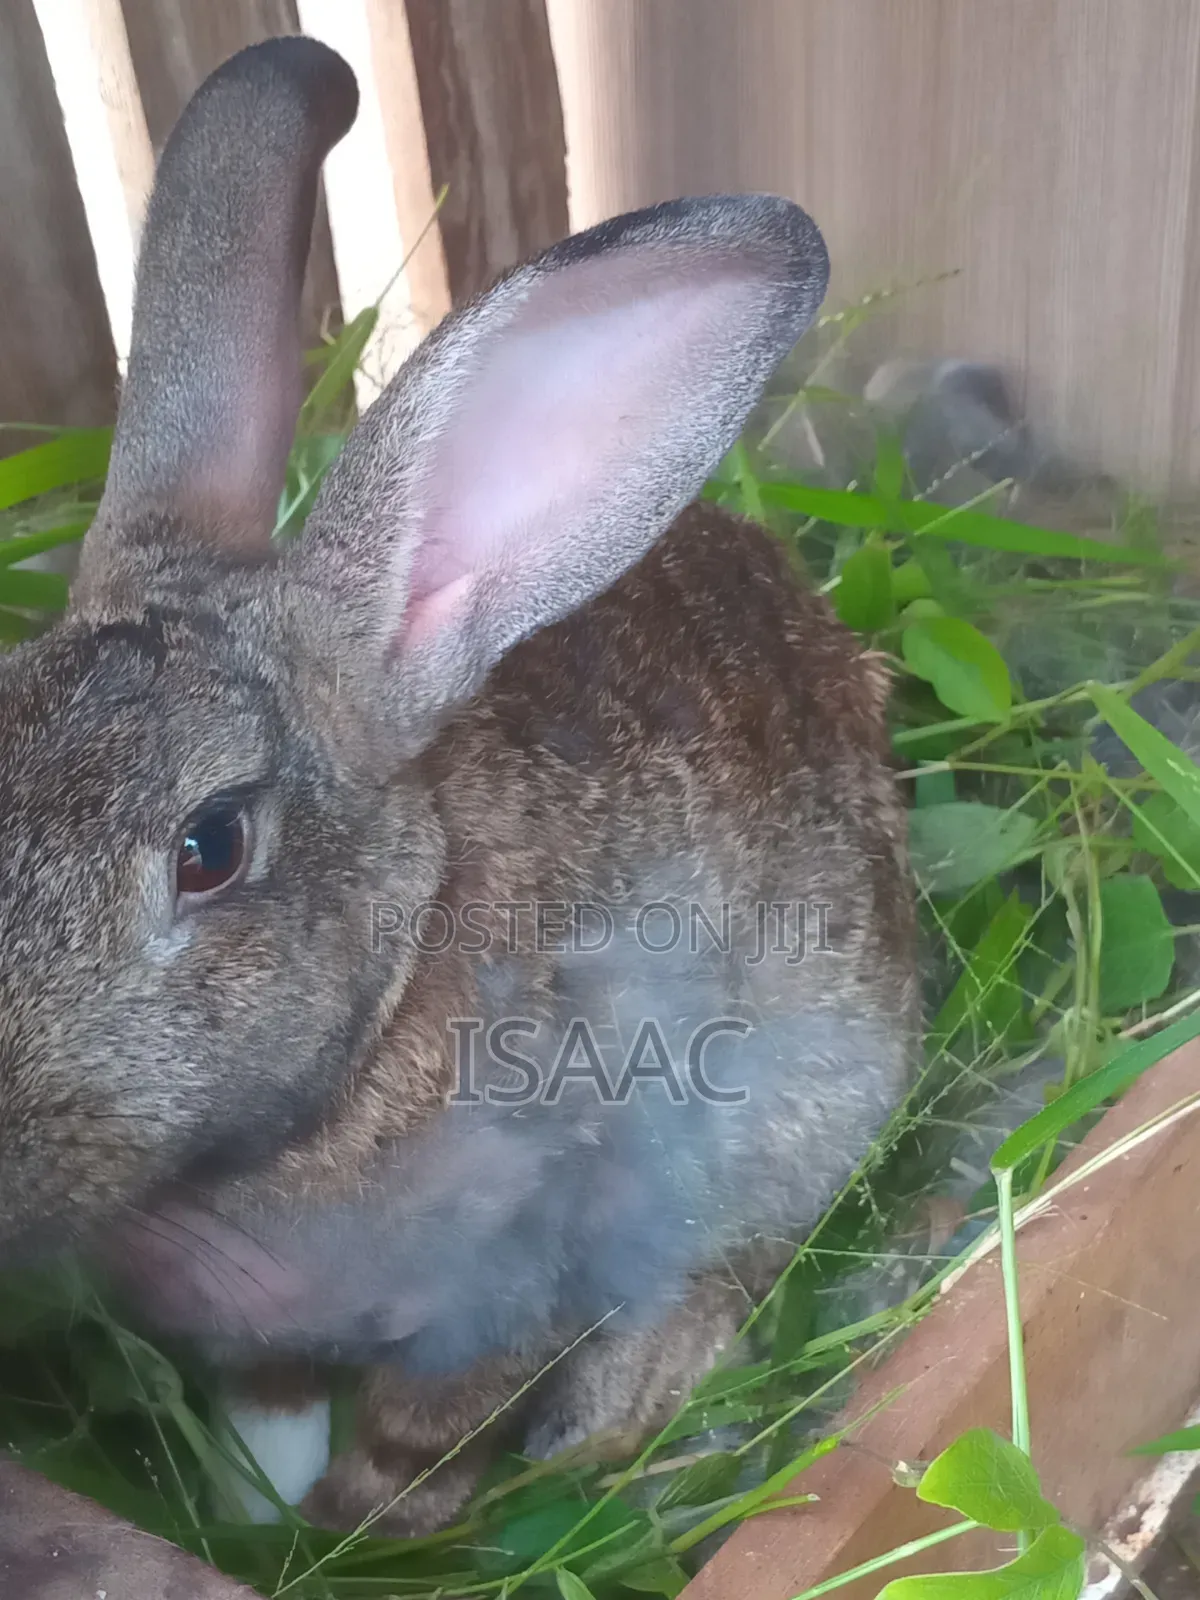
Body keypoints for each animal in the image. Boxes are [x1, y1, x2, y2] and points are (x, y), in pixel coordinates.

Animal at [0, 36, 919, 1534]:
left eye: (211, 845)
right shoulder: (256, 1346)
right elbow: (271, 1408)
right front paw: (258, 1511)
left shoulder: (515, 1286)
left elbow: (418, 1446)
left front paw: (348, 1534)